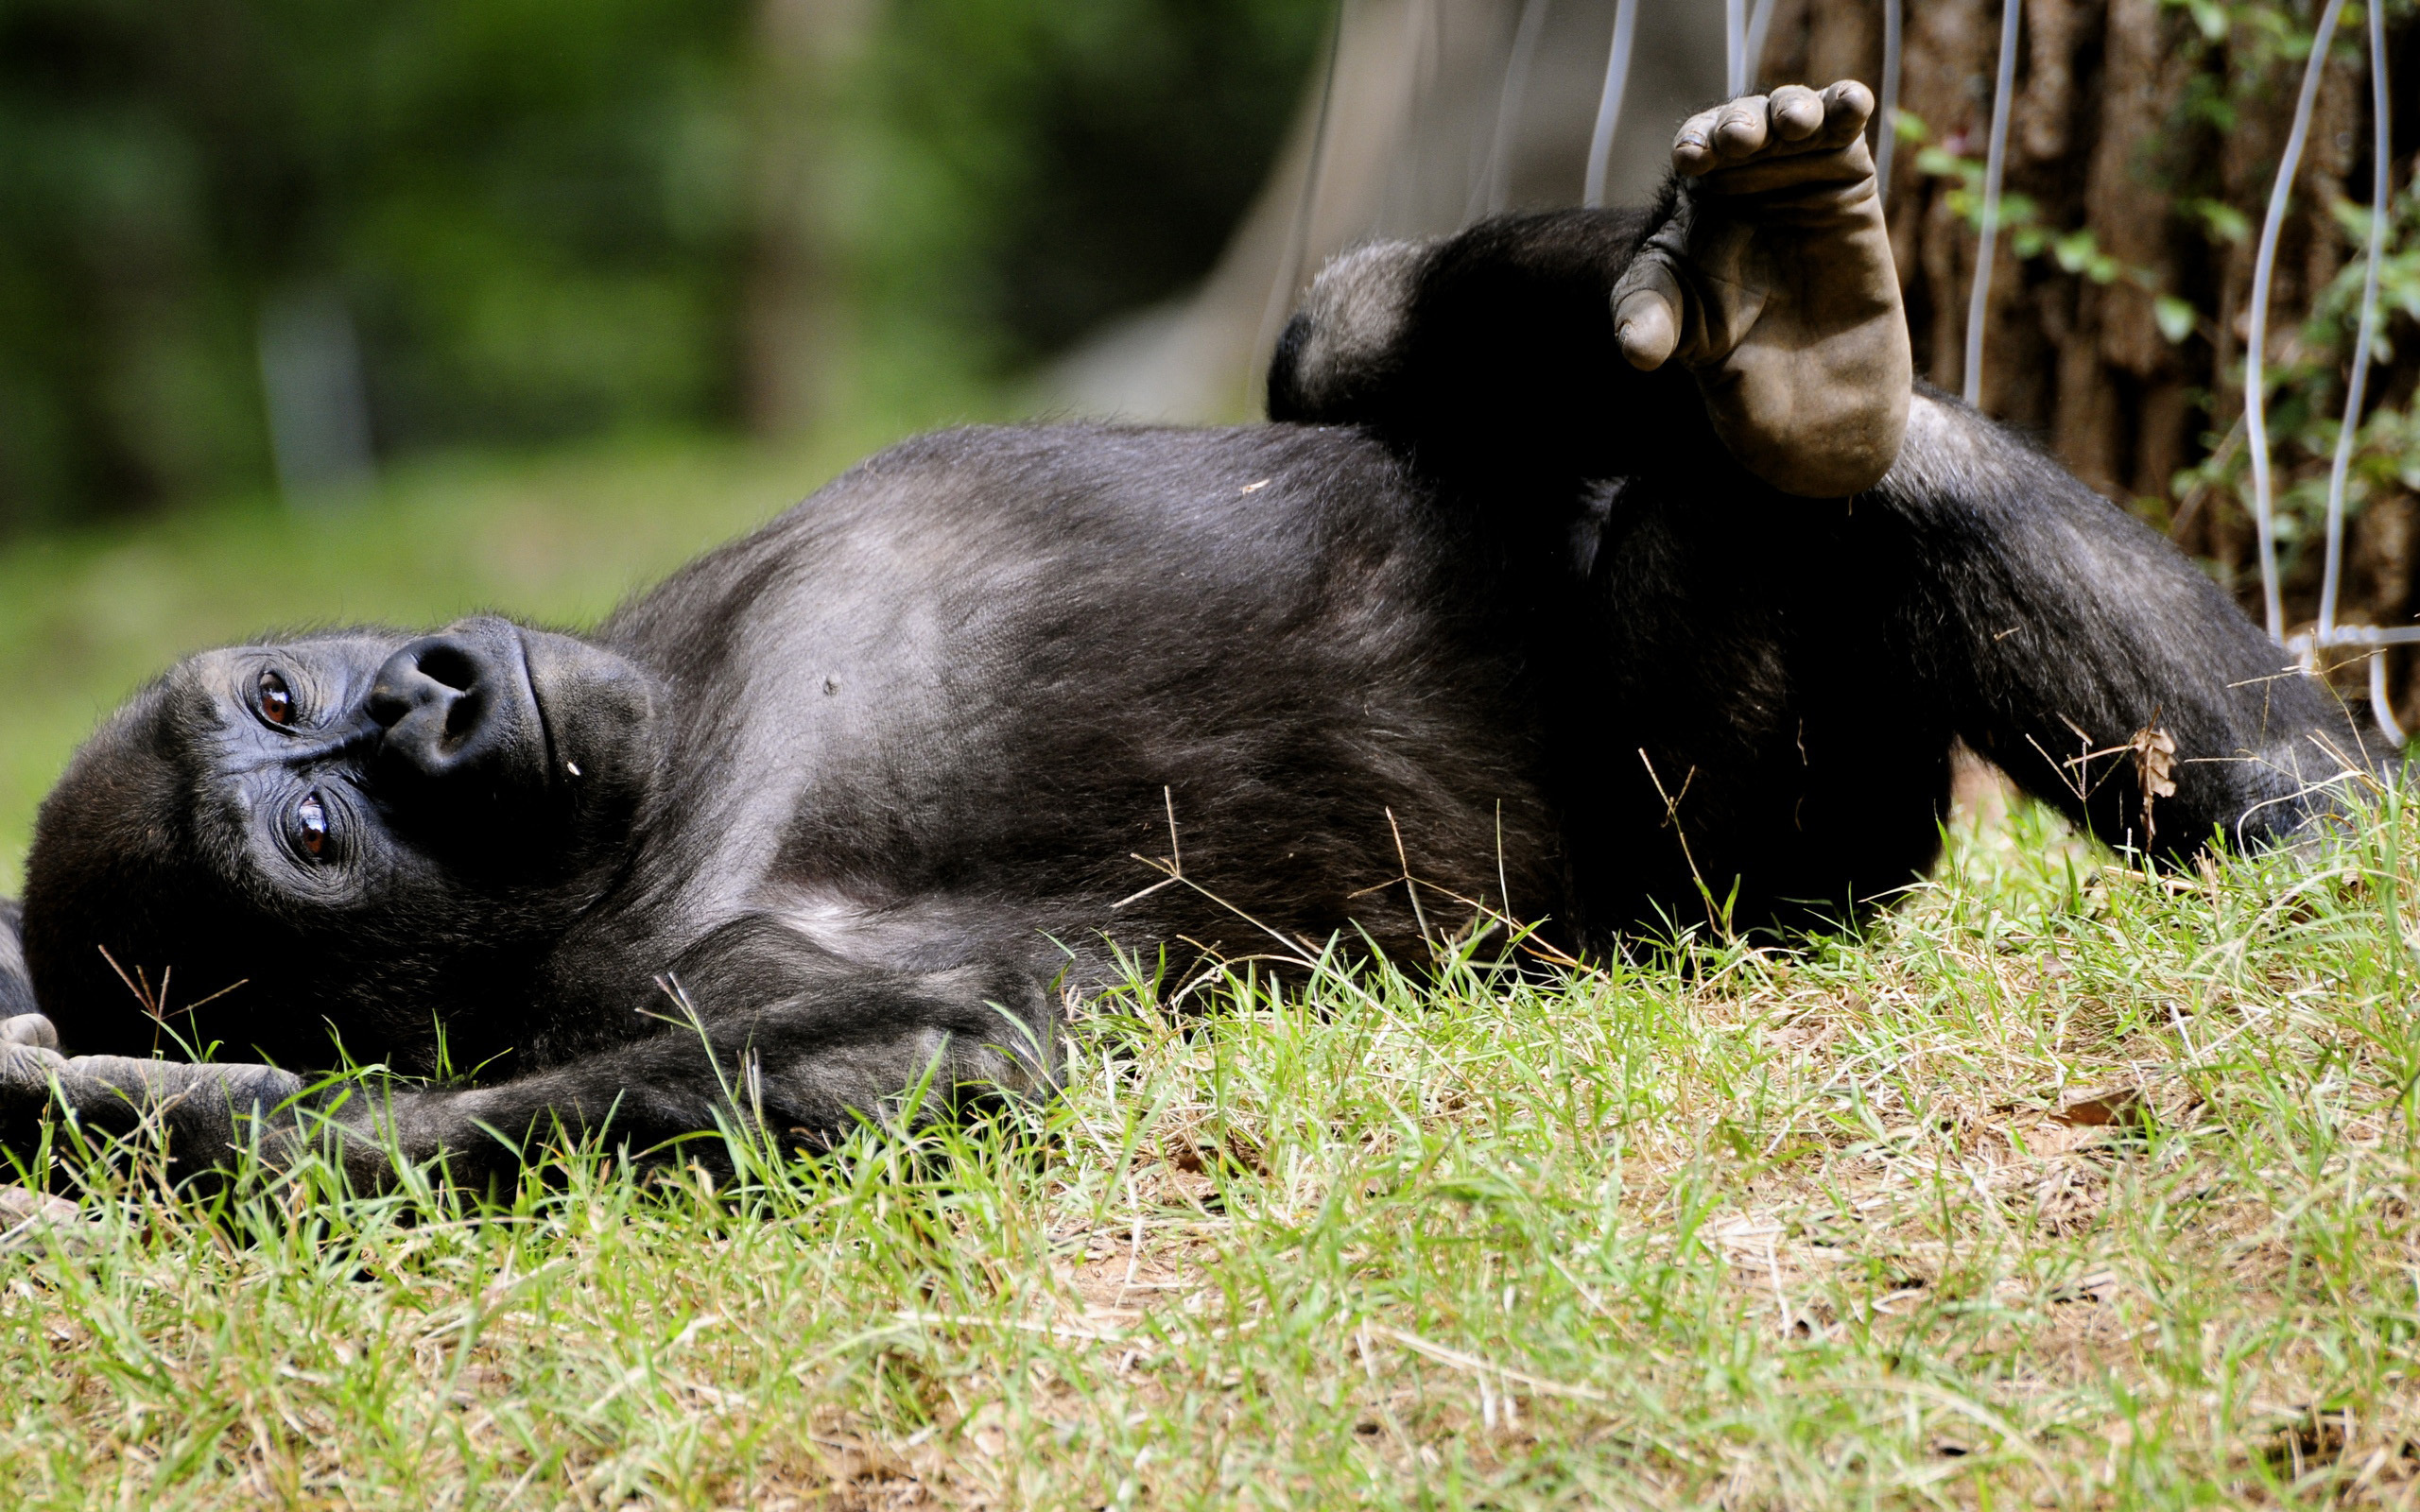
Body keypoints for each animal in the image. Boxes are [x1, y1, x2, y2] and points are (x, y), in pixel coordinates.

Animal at [0, 85, 2381, 1190]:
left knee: (1769, 446)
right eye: (311, 838)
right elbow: (930, 1048)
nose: (426, 704)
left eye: (299, 692)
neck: (657, 750)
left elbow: (1345, 365)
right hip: (1760, 875)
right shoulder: (677, 965)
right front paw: (210, 1130)